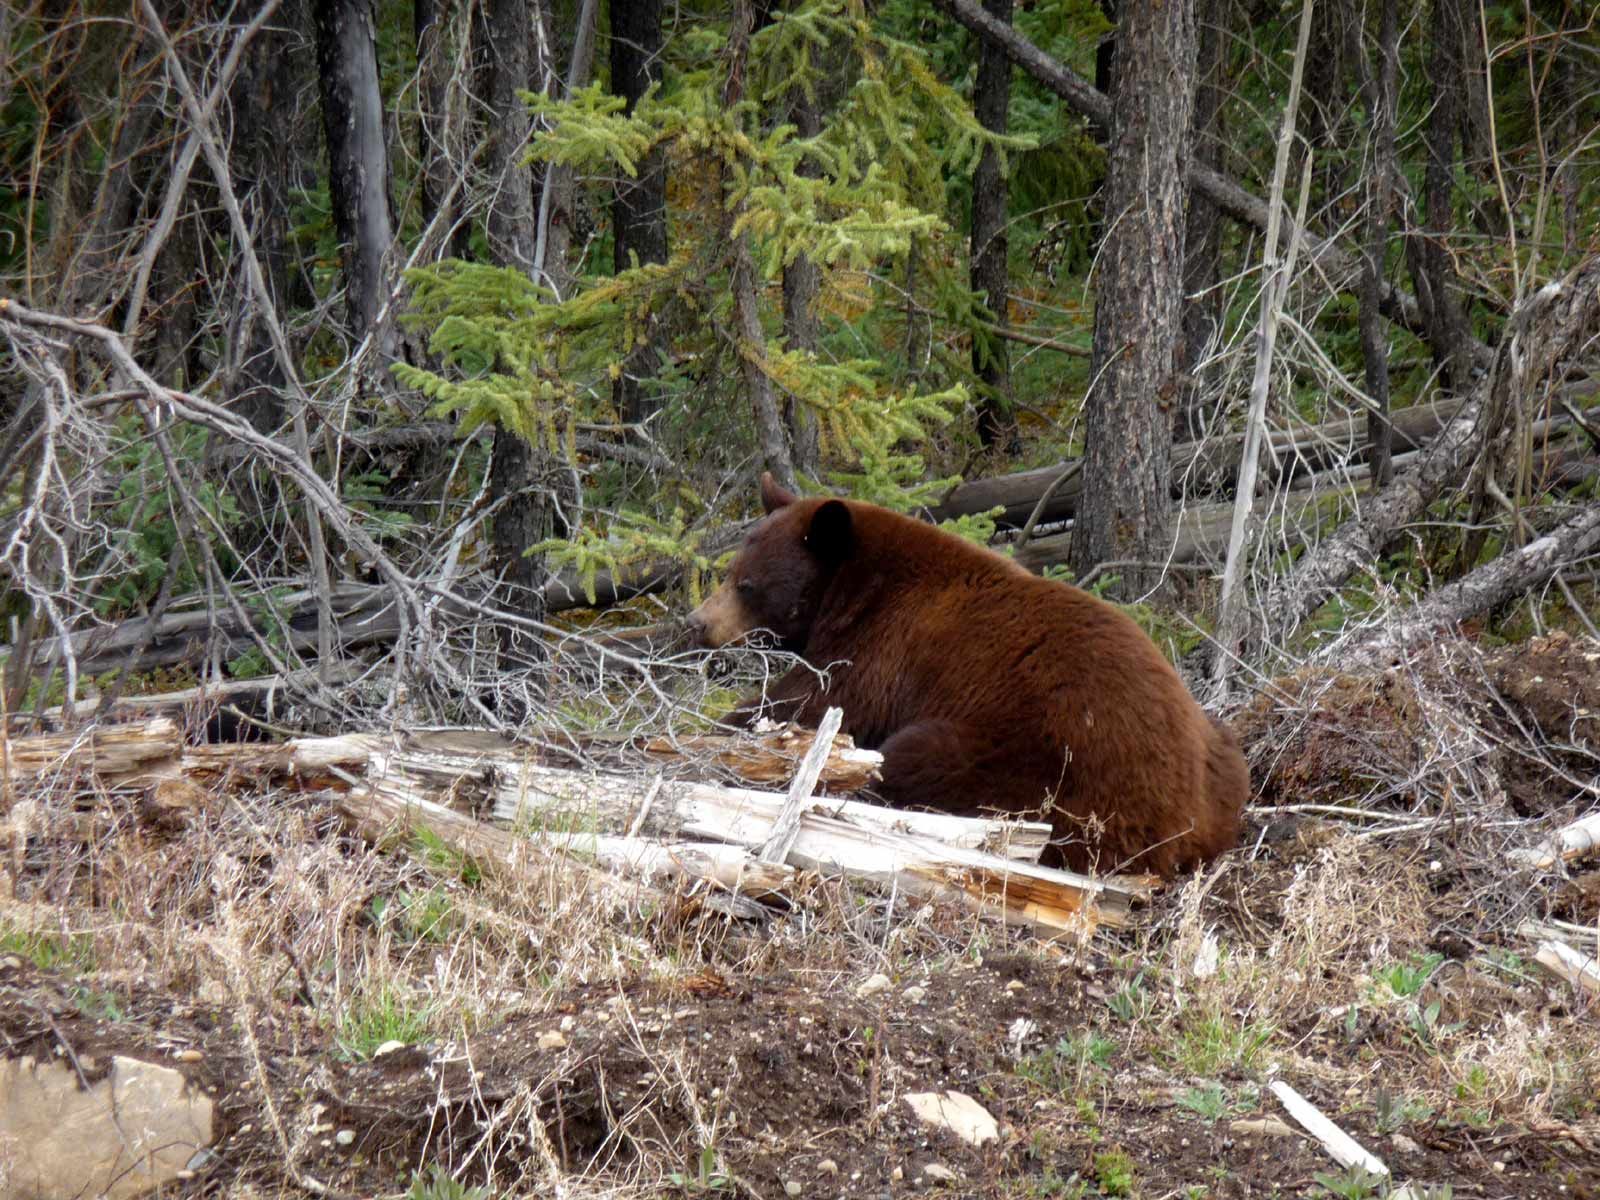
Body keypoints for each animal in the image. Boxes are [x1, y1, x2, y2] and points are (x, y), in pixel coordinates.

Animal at [687, 473, 1249, 878]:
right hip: (1222, 755)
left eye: (746, 585)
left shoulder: (880, 649)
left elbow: (813, 701)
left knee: (912, 759)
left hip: (1036, 764)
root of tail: (1180, 823)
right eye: (730, 572)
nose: (697, 622)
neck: (853, 590)